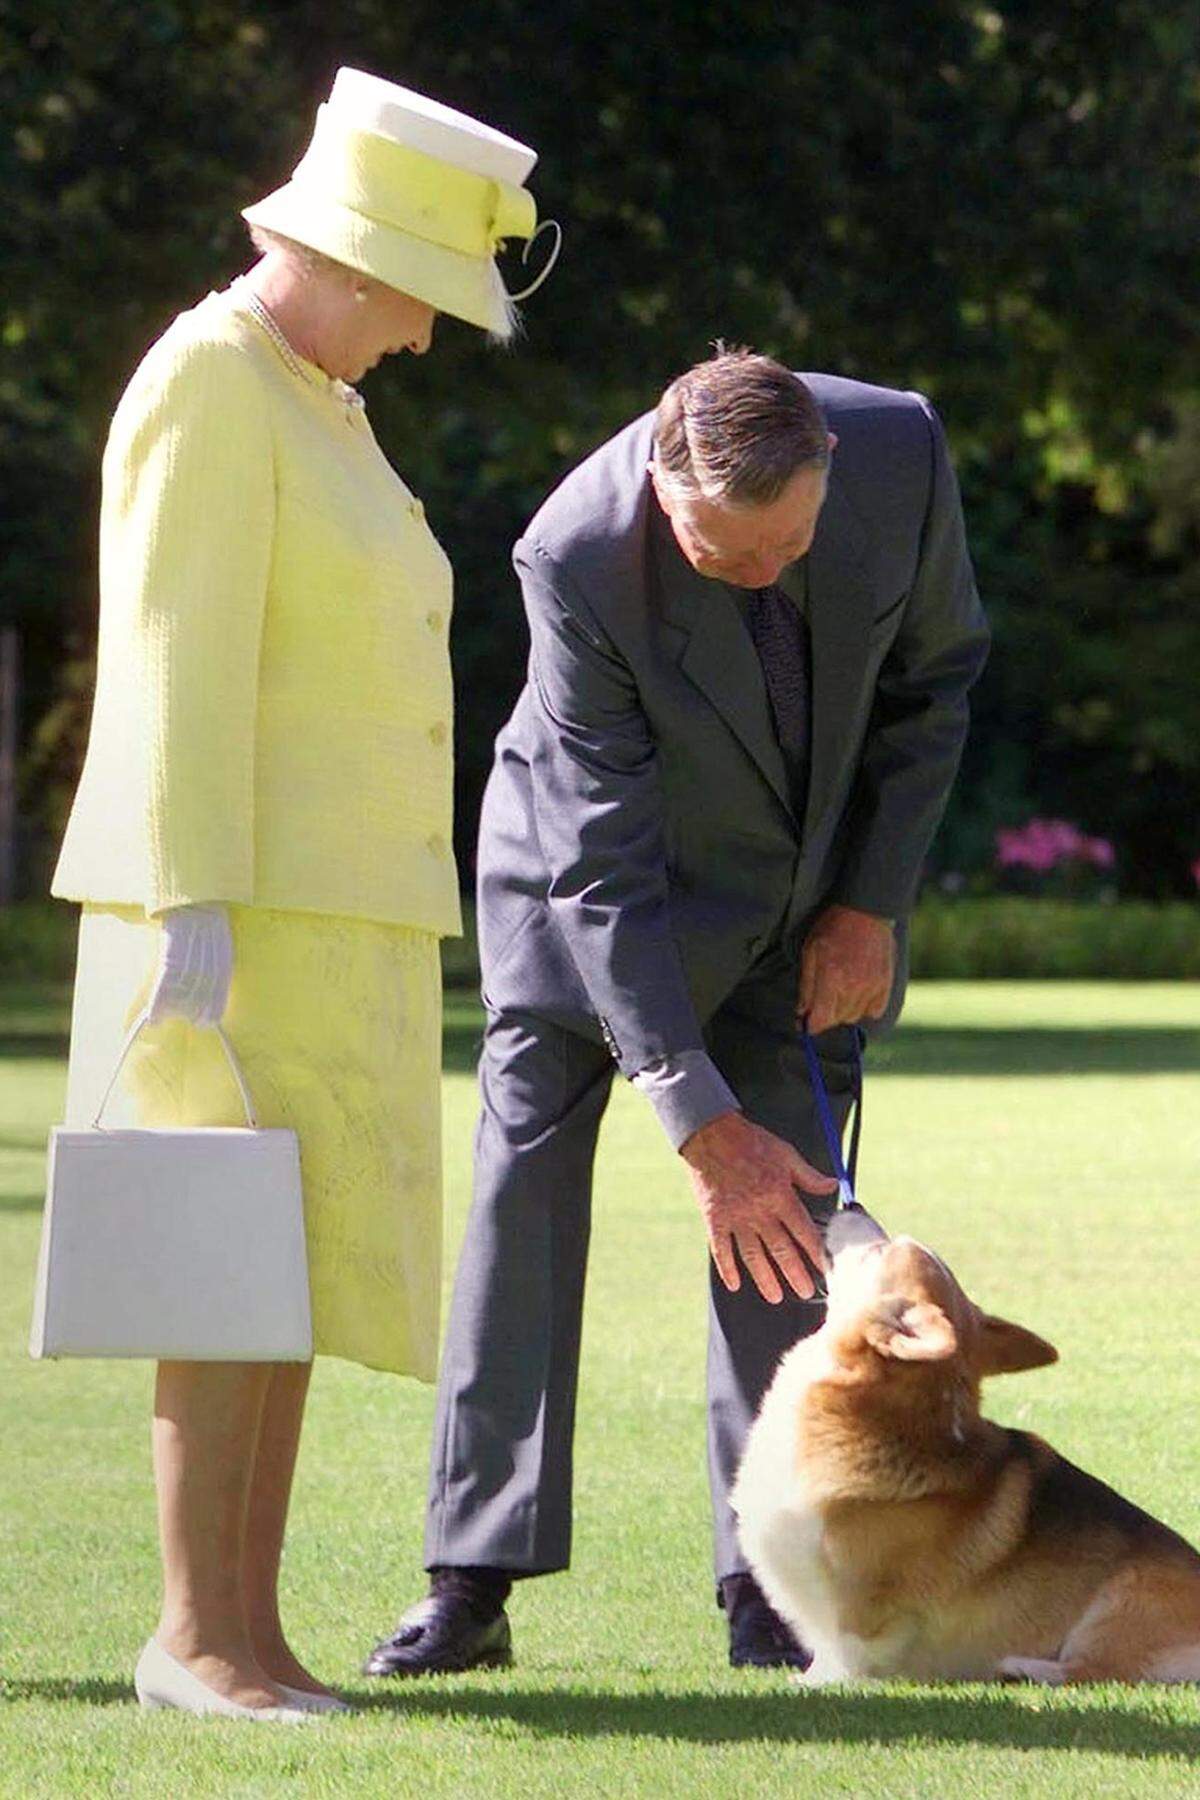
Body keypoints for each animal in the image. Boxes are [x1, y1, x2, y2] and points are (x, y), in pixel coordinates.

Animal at [726, 1224, 1200, 1684]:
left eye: (880, 1249)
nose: (842, 1215)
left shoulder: (861, 1602)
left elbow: (847, 1647)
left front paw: (823, 1682)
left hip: (1117, 1606)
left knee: (1096, 1671)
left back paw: (1022, 1666)